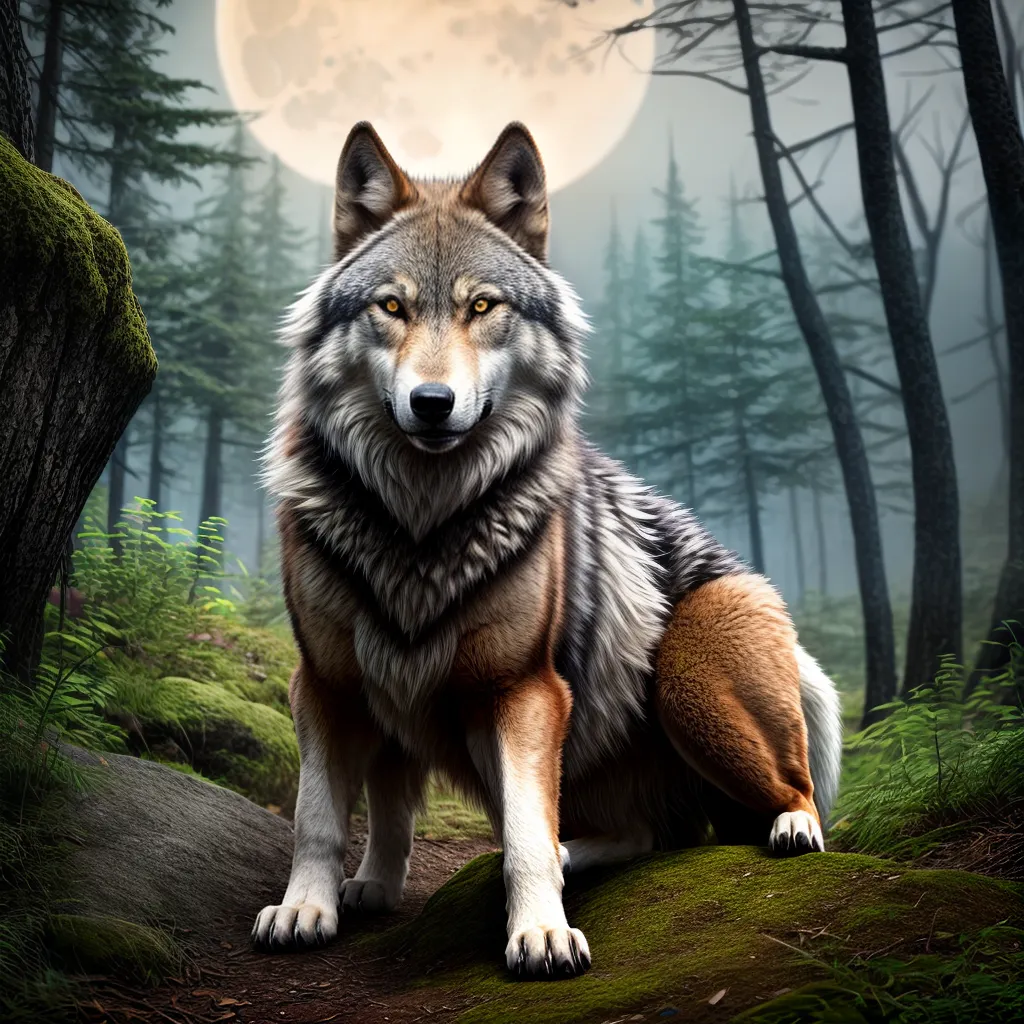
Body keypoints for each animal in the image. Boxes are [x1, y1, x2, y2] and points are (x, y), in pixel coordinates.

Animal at [253, 121, 844, 979]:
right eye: (391, 306)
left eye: (482, 306)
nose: (432, 403)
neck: (422, 527)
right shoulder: (334, 682)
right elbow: (330, 815)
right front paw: (319, 903)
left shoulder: (524, 689)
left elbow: (527, 833)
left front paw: (541, 933)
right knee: (641, 834)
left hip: (690, 680)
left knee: (786, 788)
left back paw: (792, 828)